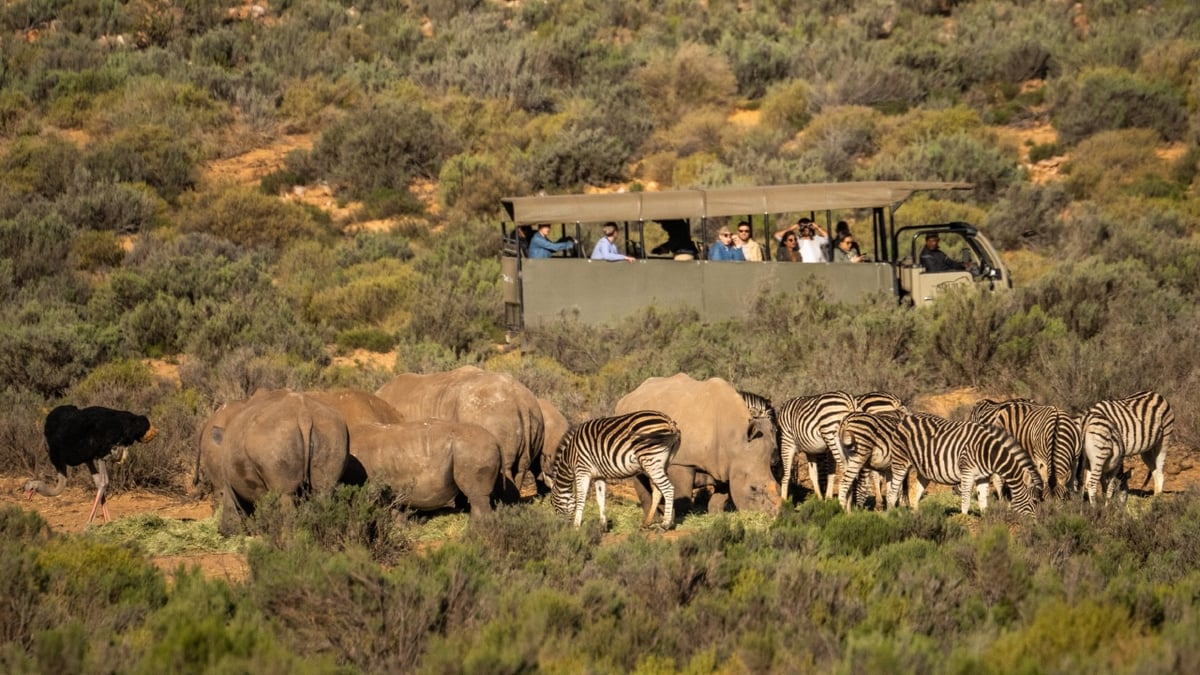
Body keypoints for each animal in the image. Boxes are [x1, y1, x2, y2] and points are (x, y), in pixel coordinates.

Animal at [198, 386, 350, 533]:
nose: (220, 531)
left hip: (275, 438)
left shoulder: (230, 483)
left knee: (285, 496)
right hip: (332, 431)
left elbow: (234, 506)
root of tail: (304, 416)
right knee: (324, 491)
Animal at [549, 408, 681, 528]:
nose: (562, 526)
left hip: (651, 462)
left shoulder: (582, 470)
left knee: (668, 489)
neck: (570, 456)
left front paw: (576, 526)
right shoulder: (599, 475)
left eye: (553, 502)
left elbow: (581, 498)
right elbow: (600, 498)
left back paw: (665, 524)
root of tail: (668, 421)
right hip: (660, 464)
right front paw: (603, 525)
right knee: (658, 491)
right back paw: (647, 523)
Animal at [619, 372, 777, 514]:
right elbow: (683, 495)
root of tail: (628, 396)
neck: (735, 438)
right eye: (753, 488)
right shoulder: (681, 462)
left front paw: (715, 515)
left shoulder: (726, 464)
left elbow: (720, 496)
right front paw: (681, 516)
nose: (773, 515)